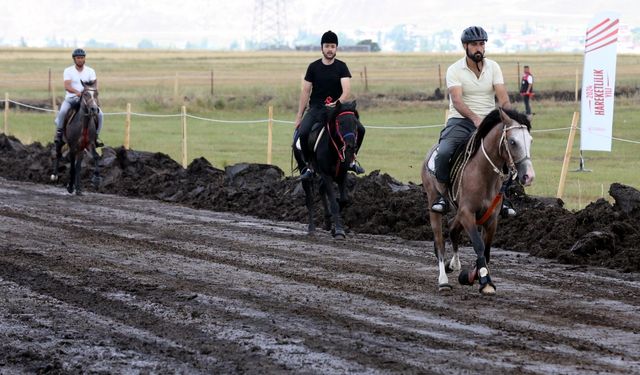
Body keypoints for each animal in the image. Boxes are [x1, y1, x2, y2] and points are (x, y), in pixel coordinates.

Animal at [294, 100, 360, 241]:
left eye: (355, 123)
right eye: (340, 123)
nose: (351, 146)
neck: (334, 149)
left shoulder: (342, 174)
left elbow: (343, 200)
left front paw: (335, 227)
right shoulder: (326, 174)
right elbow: (334, 203)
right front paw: (339, 231)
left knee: (321, 189)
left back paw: (328, 222)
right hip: (304, 170)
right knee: (309, 198)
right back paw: (312, 229)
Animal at [420, 107, 536, 296]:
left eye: (530, 140)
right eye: (512, 142)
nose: (528, 176)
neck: (483, 173)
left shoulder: (491, 218)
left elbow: (487, 251)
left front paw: (474, 275)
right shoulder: (467, 213)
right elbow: (479, 245)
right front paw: (484, 281)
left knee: (453, 228)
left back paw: (454, 264)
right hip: (434, 206)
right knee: (439, 242)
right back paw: (443, 281)